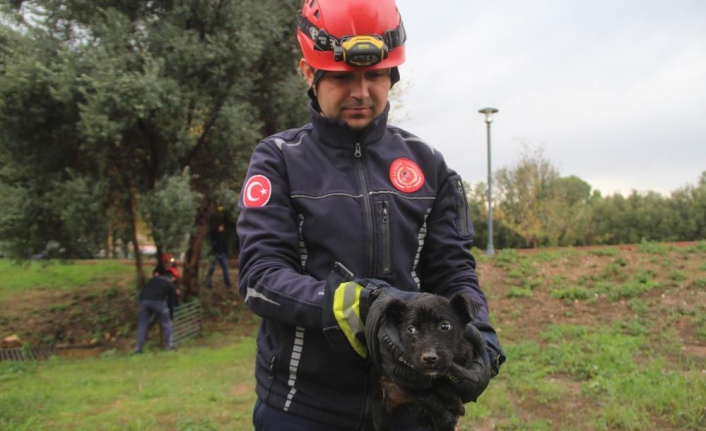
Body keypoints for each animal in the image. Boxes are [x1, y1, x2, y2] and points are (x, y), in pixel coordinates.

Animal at [368, 294, 478, 431]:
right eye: (411, 329)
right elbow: (428, 397)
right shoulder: (404, 378)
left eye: (445, 326)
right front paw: (445, 419)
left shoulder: (466, 356)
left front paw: (453, 403)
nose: (429, 358)